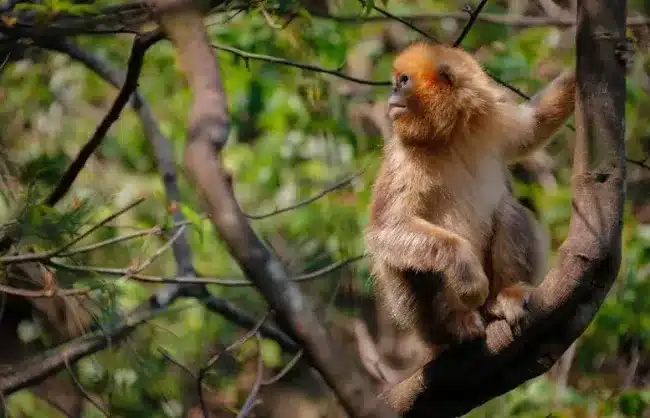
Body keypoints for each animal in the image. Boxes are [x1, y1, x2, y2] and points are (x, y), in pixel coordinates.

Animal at [363, 41, 577, 347]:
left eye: (403, 81)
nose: (392, 93)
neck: (447, 137)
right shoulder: (402, 157)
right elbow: (386, 228)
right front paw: (466, 273)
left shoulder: (490, 121)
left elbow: (533, 126)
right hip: (419, 320)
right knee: (413, 262)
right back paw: (456, 324)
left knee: (507, 208)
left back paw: (508, 296)